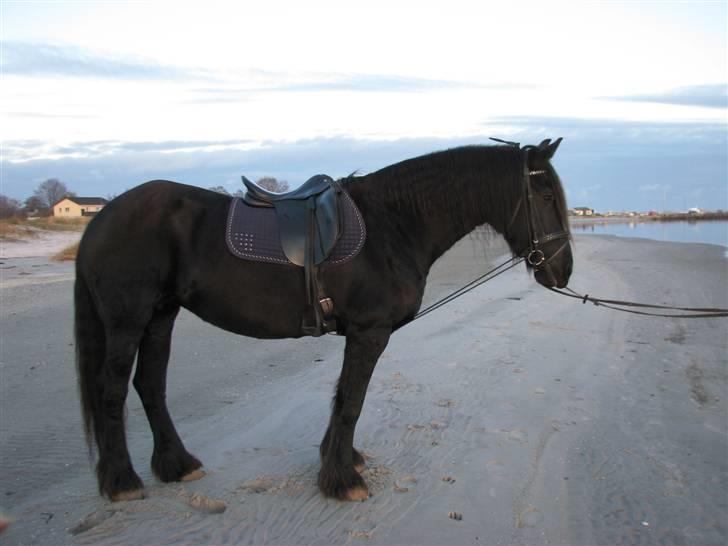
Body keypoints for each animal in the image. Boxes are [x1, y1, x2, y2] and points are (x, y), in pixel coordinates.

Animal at [77, 138, 572, 500]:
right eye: (546, 193)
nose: (563, 271)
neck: (394, 224)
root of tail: (104, 215)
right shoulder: (370, 333)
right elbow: (352, 400)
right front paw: (342, 480)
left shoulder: (360, 334)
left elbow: (342, 398)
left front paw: (340, 461)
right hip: (128, 320)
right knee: (112, 390)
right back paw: (122, 481)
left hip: (160, 317)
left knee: (150, 386)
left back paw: (176, 466)